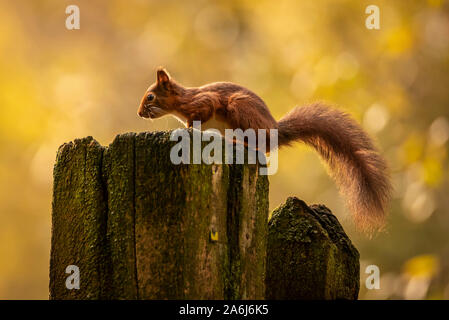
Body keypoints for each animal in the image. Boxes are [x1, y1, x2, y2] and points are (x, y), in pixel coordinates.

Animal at [138, 67, 390, 232]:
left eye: (150, 96)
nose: (139, 113)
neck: (180, 103)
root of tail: (274, 131)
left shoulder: (204, 102)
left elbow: (200, 115)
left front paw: (190, 129)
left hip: (240, 109)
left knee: (258, 146)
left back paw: (238, 143)